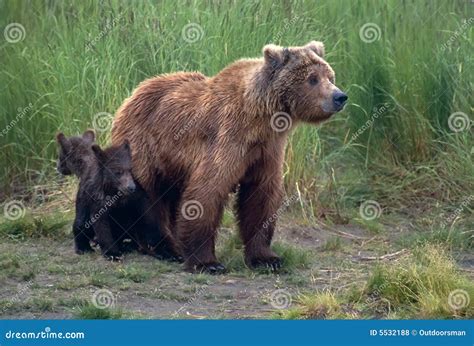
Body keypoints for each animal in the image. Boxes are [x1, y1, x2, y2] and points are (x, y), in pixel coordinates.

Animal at [111, 41, 348, 274]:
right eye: (312, 78)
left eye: (330, 76)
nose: (340, 97)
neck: (261, 120)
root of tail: (133, 93)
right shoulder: (227, 139)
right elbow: (207, 191)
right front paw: (207, 262)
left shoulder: (267, 151)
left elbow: (261, 197)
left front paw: (267, 258)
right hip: (145, 146)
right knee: (149, 195)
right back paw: (166, 248)